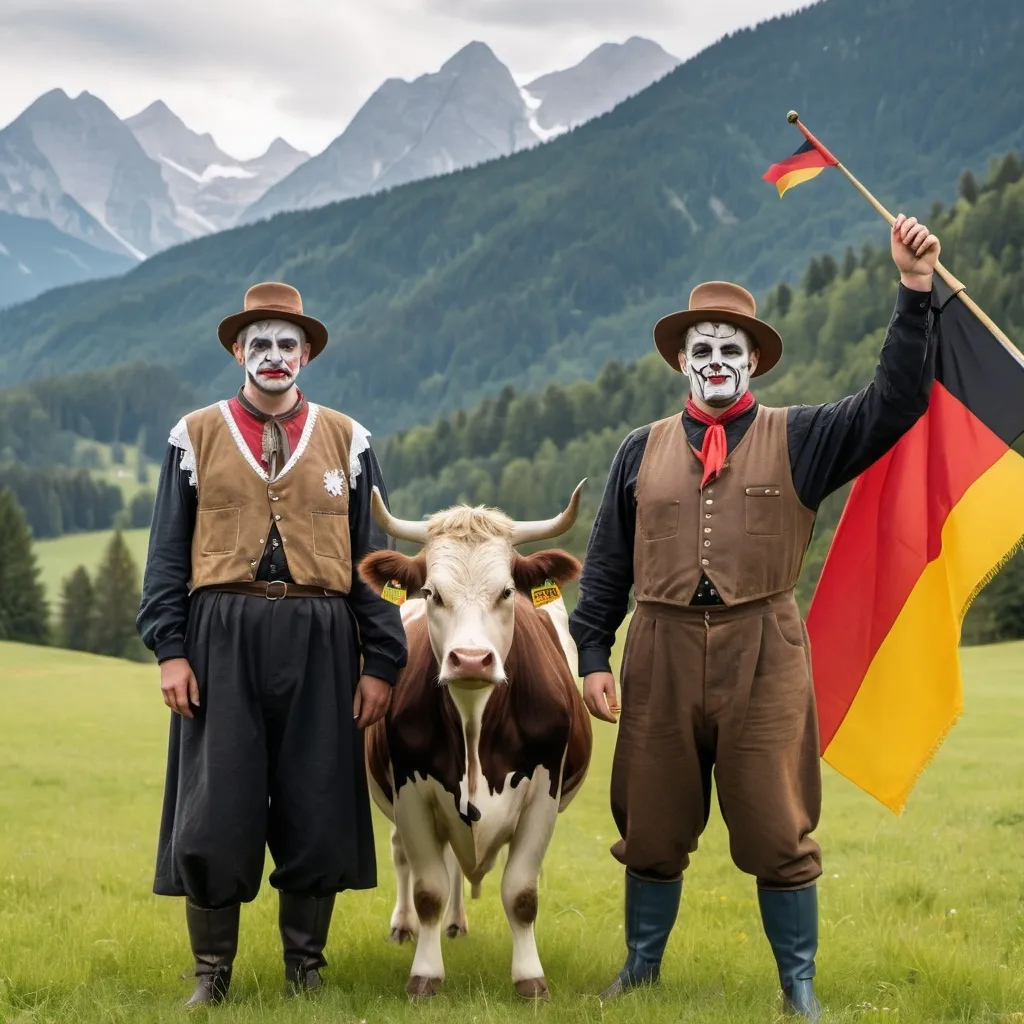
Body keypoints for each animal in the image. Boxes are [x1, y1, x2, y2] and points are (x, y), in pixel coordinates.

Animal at [360, 483, 598, 1003]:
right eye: (432, 593)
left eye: (506, 591)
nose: (470, 659)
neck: (474, 724)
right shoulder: (411, 792)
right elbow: (427, 888)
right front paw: (425, 974)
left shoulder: (543, 794)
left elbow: (521, 893)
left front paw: (530, 978)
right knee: (406, 856)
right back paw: (405, 926)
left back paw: (456, 924)